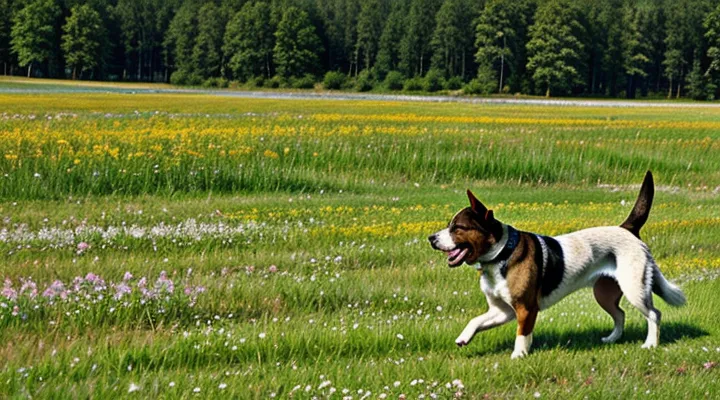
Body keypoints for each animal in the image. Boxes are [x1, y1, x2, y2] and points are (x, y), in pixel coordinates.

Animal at [428, 172, 688, 360]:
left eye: (458, 228)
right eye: (449, 225)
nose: (431, 238)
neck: (501, 254)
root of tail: (627, 229)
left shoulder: (525, 309)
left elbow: (522, 335)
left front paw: (518, 356)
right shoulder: (502, 310)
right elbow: (475, 321)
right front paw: (464, 338)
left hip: (635, 288)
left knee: (654, 314)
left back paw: (650, 344)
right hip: (603, 293)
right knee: (620, 314)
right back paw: (612, 339)